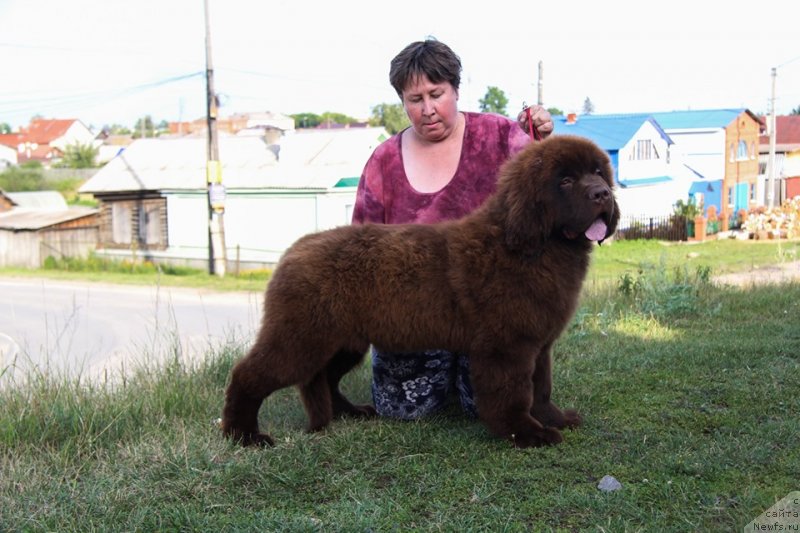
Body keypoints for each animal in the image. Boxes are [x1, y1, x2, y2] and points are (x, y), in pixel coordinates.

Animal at [222, 134, 620, 448]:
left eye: (599, 173)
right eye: (565, 180)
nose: (602, 194)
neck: (531, 245)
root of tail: (294, 250)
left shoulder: (539, 344)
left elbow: (542, 387)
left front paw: (554, 419)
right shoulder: (507, 346)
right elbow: (514, 393)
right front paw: (526, 433)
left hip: (342, 341)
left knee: (323, 378)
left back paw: (349, 412)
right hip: (302, 337)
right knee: (250, 375)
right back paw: (243, 435)